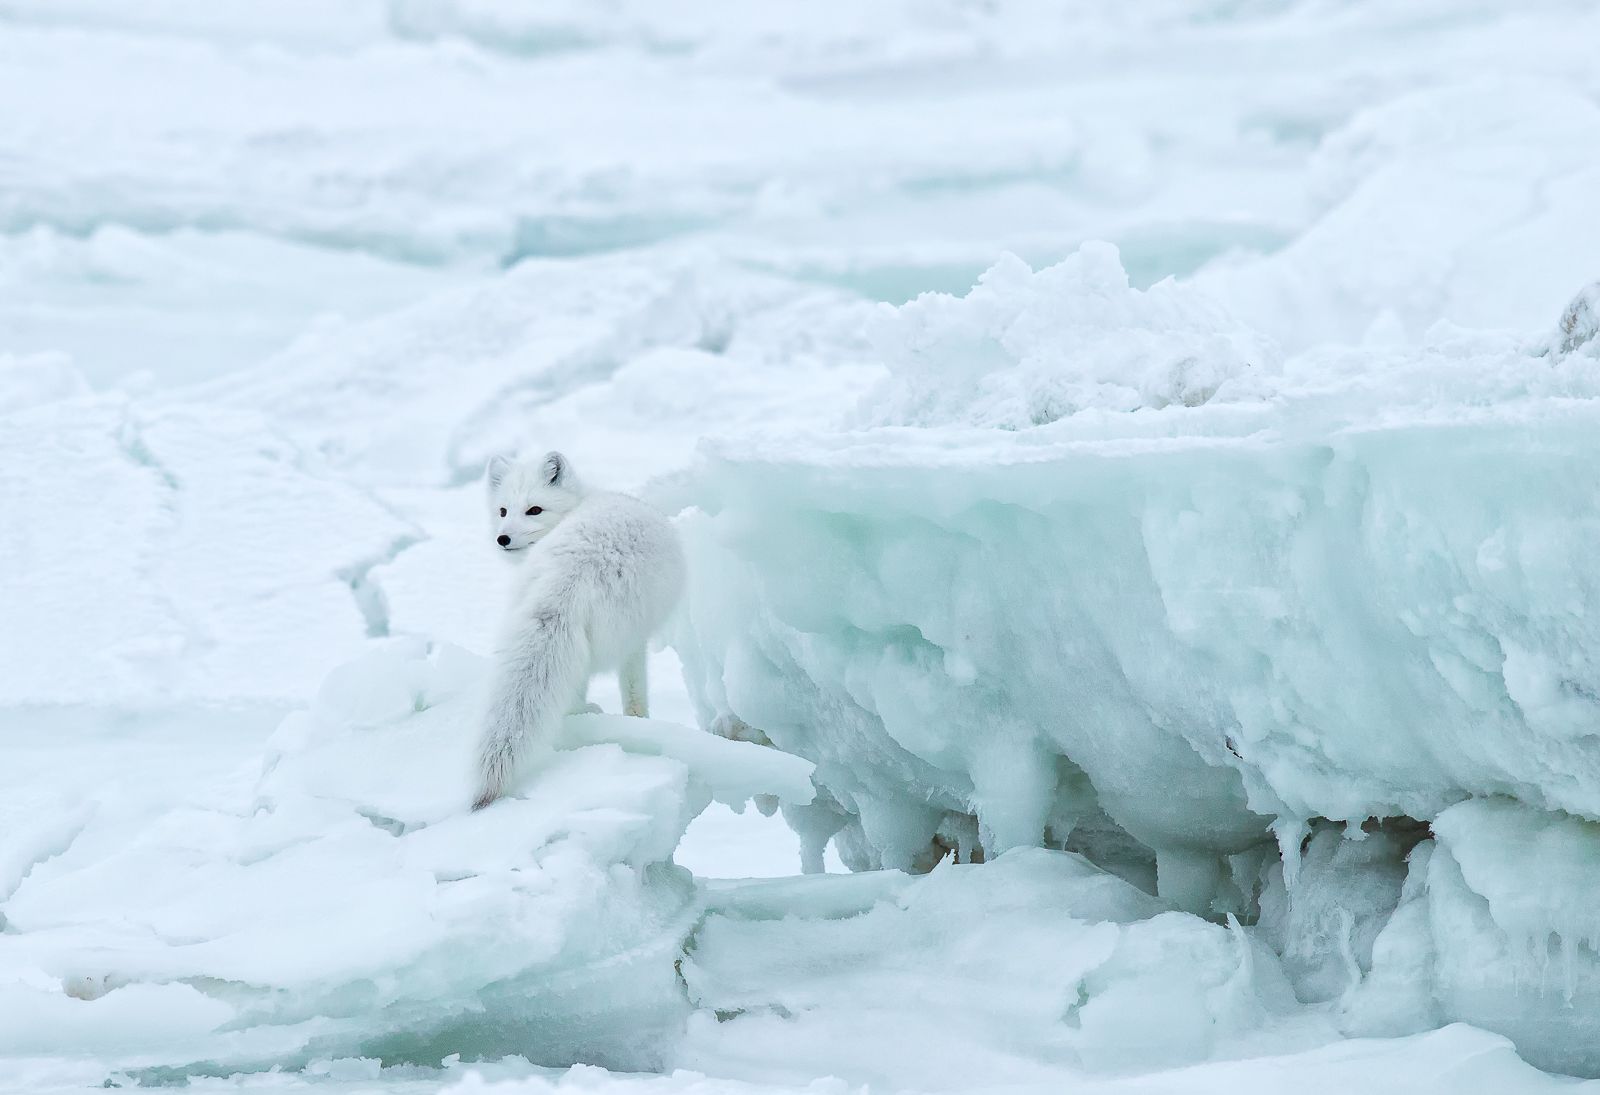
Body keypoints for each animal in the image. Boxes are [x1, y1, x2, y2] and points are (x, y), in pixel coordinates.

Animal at [467, 448, 681, 806]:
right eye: (503, 511)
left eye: (534, 510)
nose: (502, 538)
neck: (581, 501)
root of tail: (571, 572)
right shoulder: (636, 641)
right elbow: (635, 693)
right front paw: (639, 721)